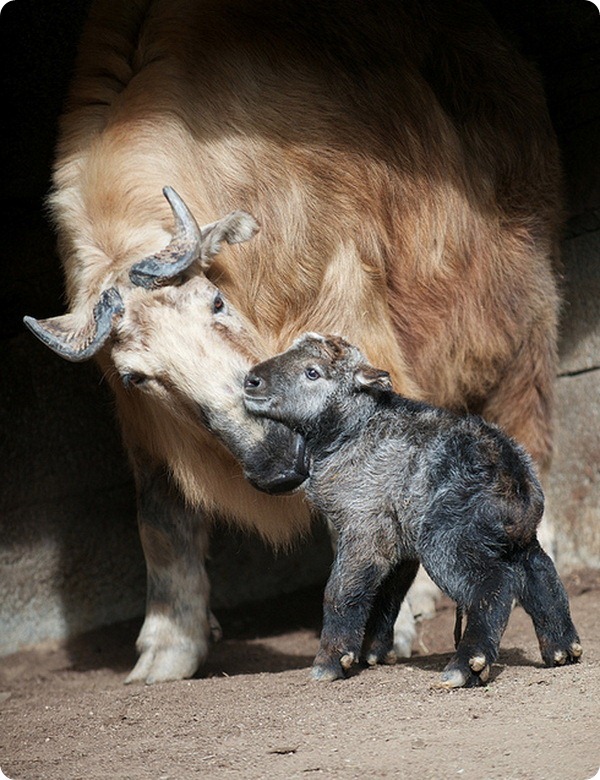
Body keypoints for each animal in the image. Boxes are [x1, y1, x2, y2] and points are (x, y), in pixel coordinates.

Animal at [243, 332, 580, 684]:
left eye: (312, 372)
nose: (251, 380)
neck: (353, 430)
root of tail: (513, 475)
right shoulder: (398, 546)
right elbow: (386, 596)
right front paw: (375, 654)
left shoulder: (363, 527)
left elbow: (341, 592)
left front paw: (332, 662)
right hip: (517, 540)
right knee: (541, 574)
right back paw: (562, 649)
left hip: (447, 539)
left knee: (494, 586)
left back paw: (466, 666)